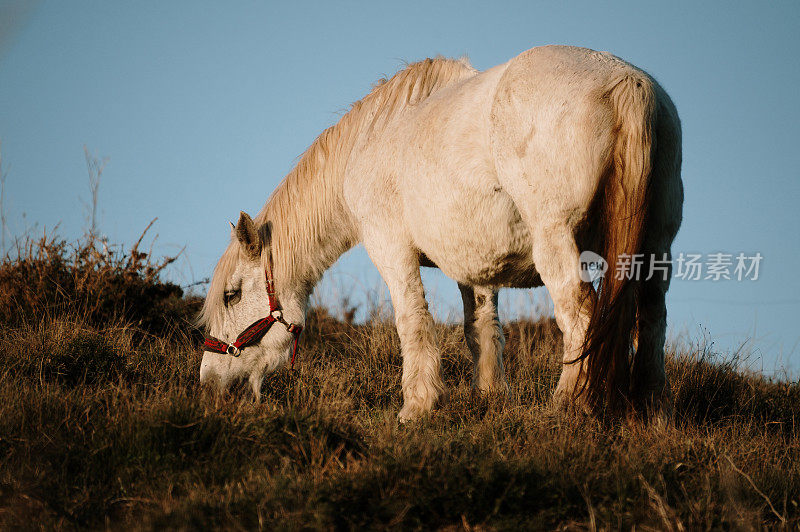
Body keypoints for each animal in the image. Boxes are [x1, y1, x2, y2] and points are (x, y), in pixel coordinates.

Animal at [198, 45, 680, 420]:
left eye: (232, 295)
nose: (210, 385)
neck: (372, 139)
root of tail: (626, 83)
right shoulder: (477, 266)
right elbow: (482, 329)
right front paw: (490, 398)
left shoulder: (391, 248)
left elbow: (412, 321)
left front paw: (417, 407)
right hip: (655, 250)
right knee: (651, 316)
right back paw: (650, 405)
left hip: (556, 239)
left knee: (579, 314)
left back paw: (568, 404)